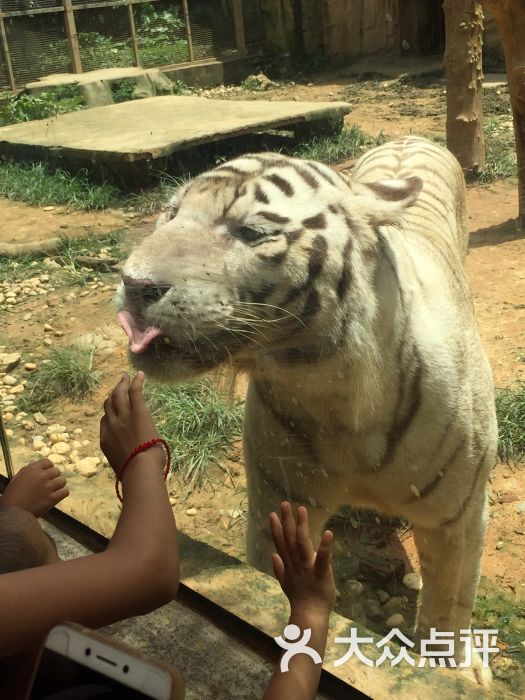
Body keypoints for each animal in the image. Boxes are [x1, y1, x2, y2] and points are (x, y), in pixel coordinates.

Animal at [116, 135, 498, 680]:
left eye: (251, 233)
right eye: (170, 213)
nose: (133, 284)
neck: (333, 387)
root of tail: (409, 139)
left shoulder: (459, 515)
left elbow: (450, 602)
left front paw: (454, 672)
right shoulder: (279, 494)